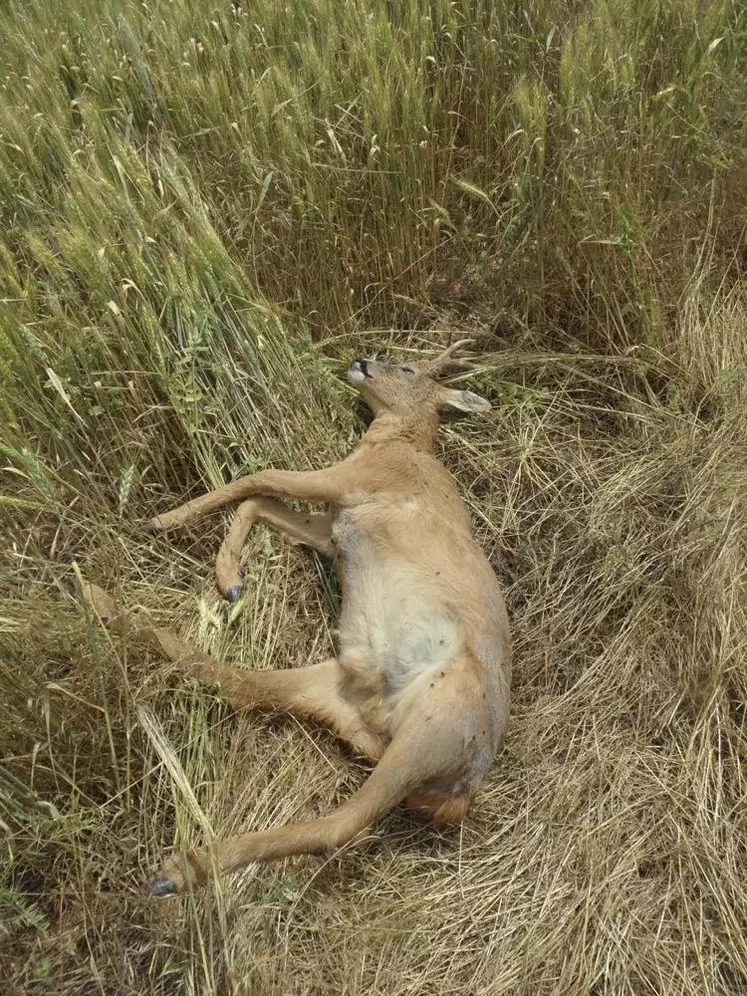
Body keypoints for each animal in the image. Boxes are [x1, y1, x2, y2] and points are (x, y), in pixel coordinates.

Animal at [84, 342, 512, 896]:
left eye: (407, 367)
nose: (361, 362)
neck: (402, 448)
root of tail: (460, 794)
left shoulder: (343, 481)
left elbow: (256, 478)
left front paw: (164, 520)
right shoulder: (332, 528)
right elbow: (257, 500)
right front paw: (231, 582)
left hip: (430, 731)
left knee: (341, 824)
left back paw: (177, 872)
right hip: (333, 693)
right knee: (241, 685)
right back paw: (100, 602)